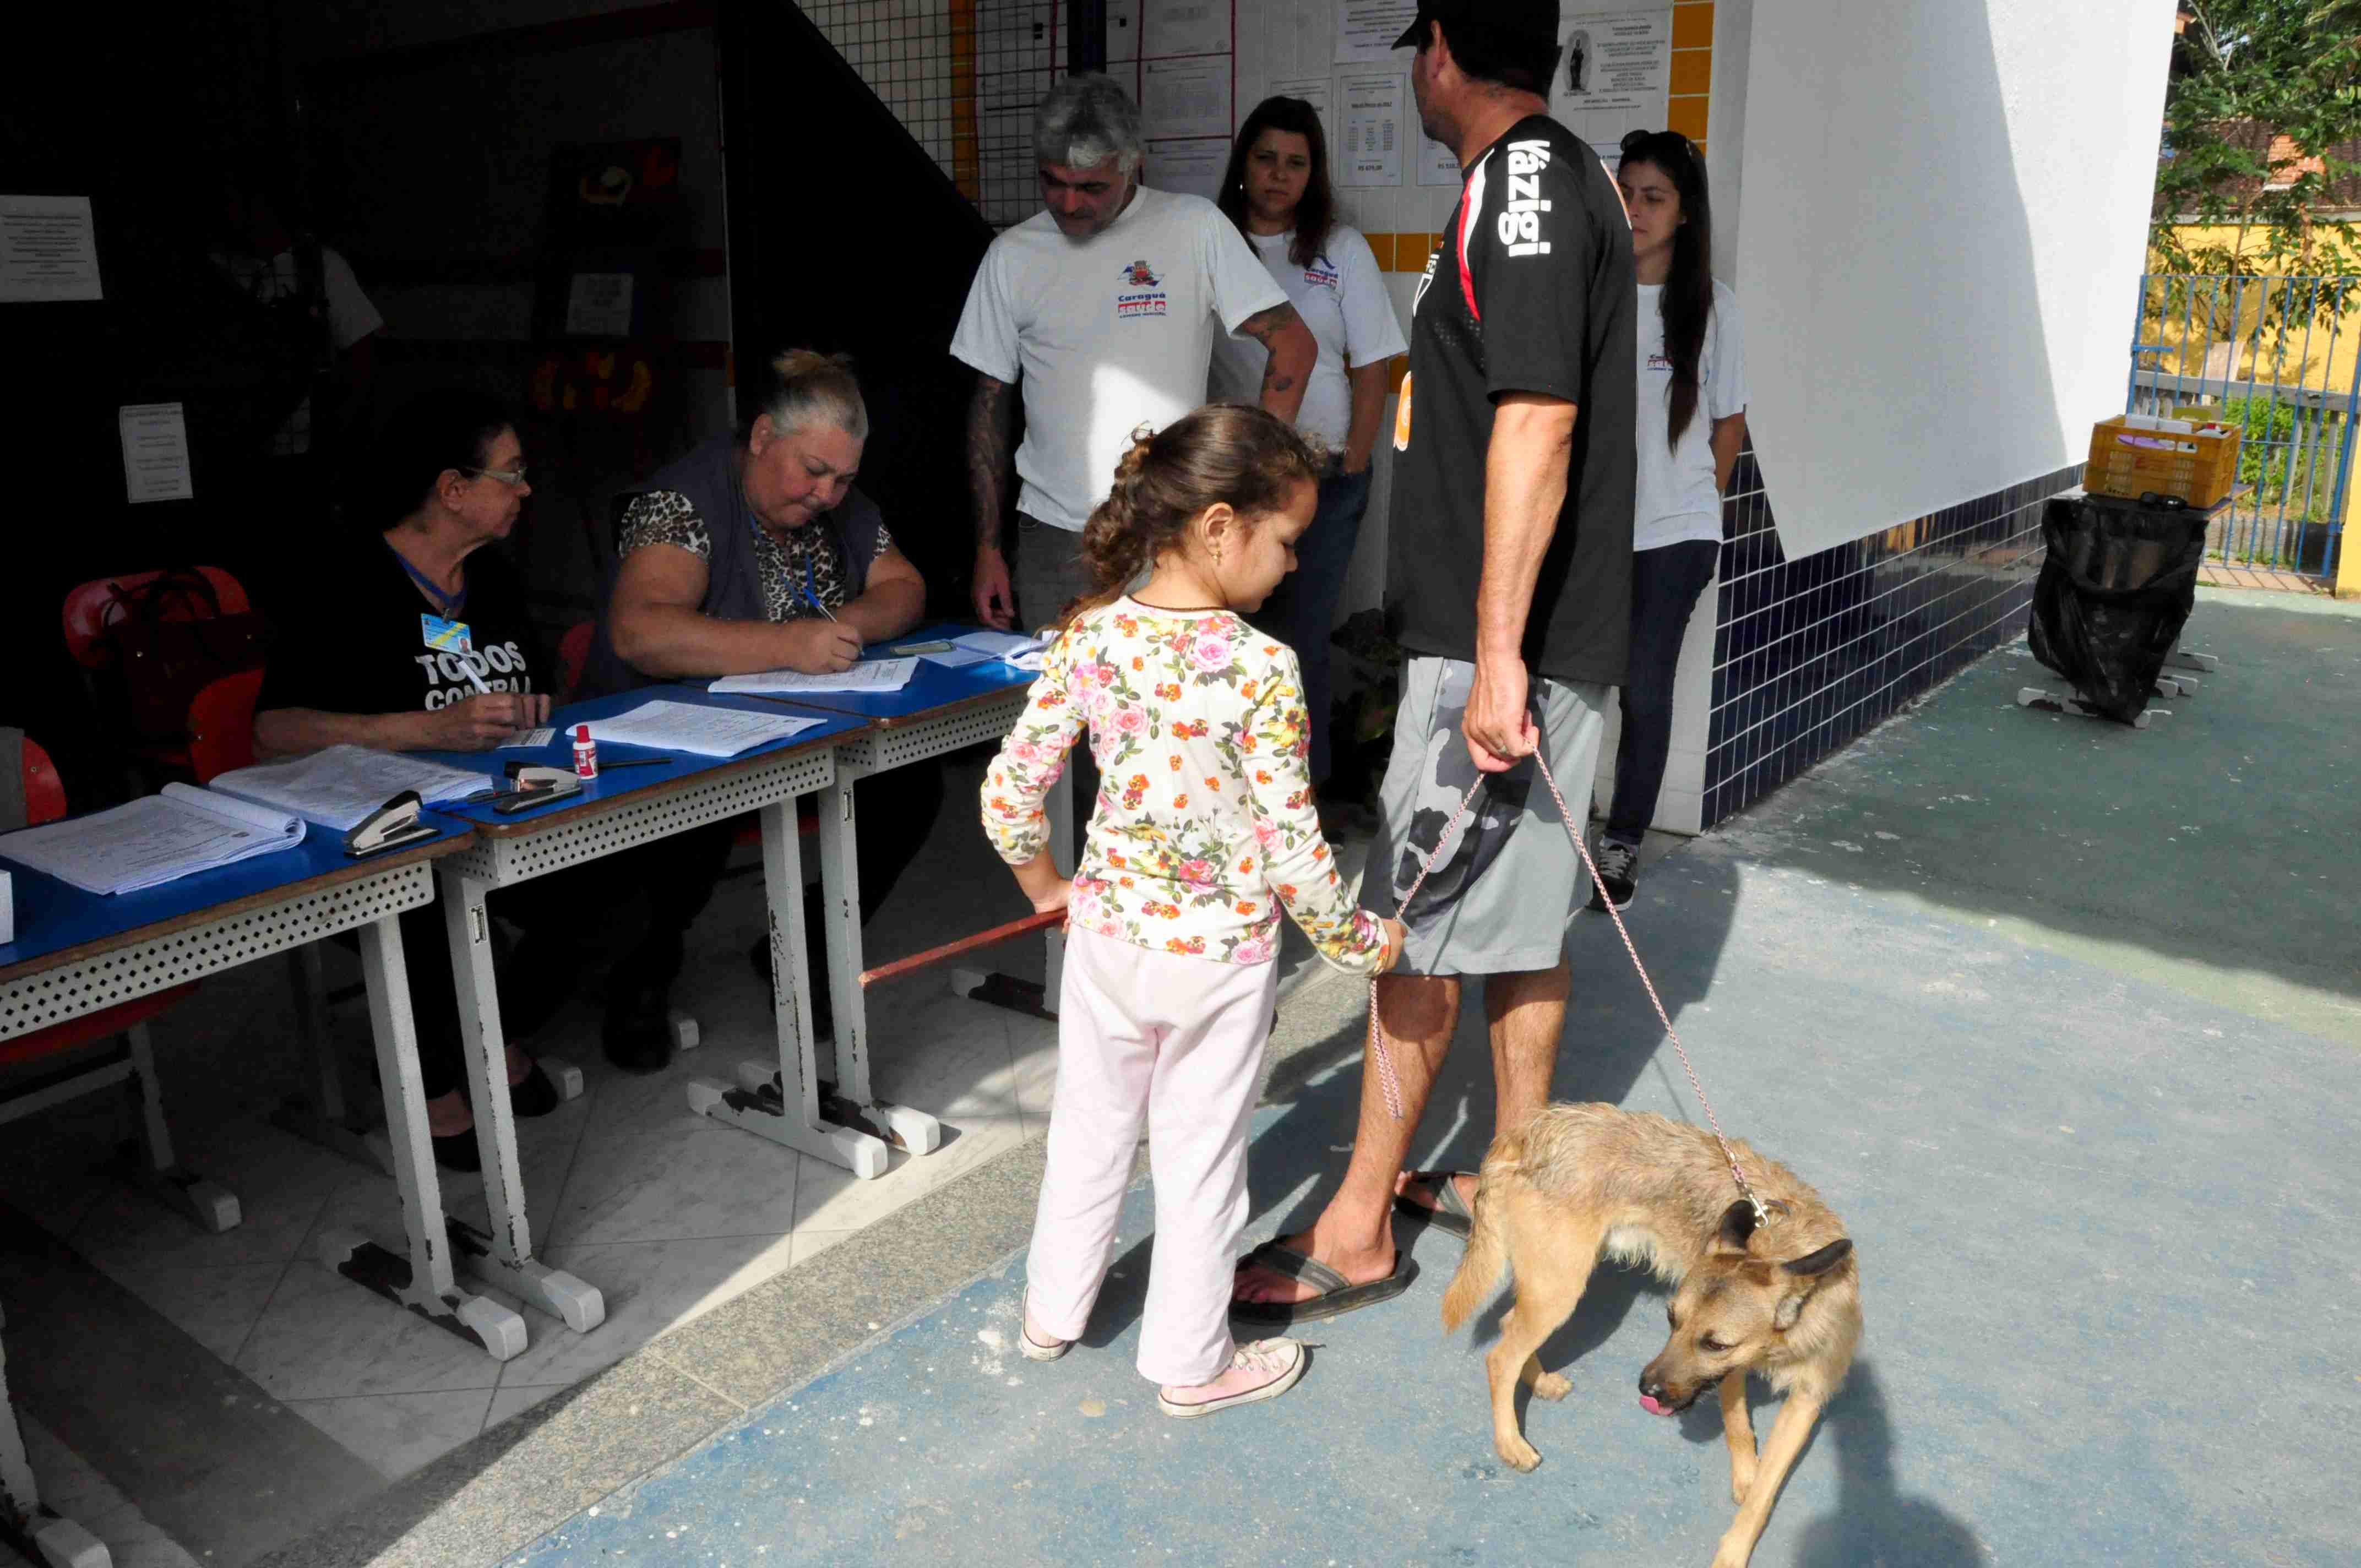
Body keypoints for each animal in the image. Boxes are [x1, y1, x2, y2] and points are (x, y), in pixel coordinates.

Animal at [1435, 1100, 1860, 1567]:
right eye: (1671, 1319)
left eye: (1715, 1344)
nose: (1647, 1390)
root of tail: (1534, 1129)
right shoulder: (1734, 1376)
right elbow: (1737, 1428)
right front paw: (1743, 1496)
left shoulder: (1801, 1396)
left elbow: (1764, 1484)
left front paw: (1742, 1520)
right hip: (1560, 1290)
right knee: (1500, 1357)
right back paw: (1511, 1442)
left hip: (1550, 1289)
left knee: (1510, 1326)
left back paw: (1540, 1381)